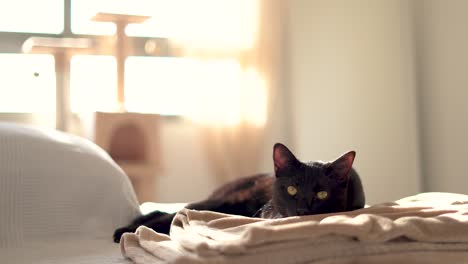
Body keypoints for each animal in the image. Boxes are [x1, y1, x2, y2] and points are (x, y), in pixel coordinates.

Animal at [112, 143, 362, 242]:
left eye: (322, 195)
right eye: (292, 189)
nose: (302, 210)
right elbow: (174, 216)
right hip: (224, 200)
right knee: (173, 212)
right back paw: (128, 227)